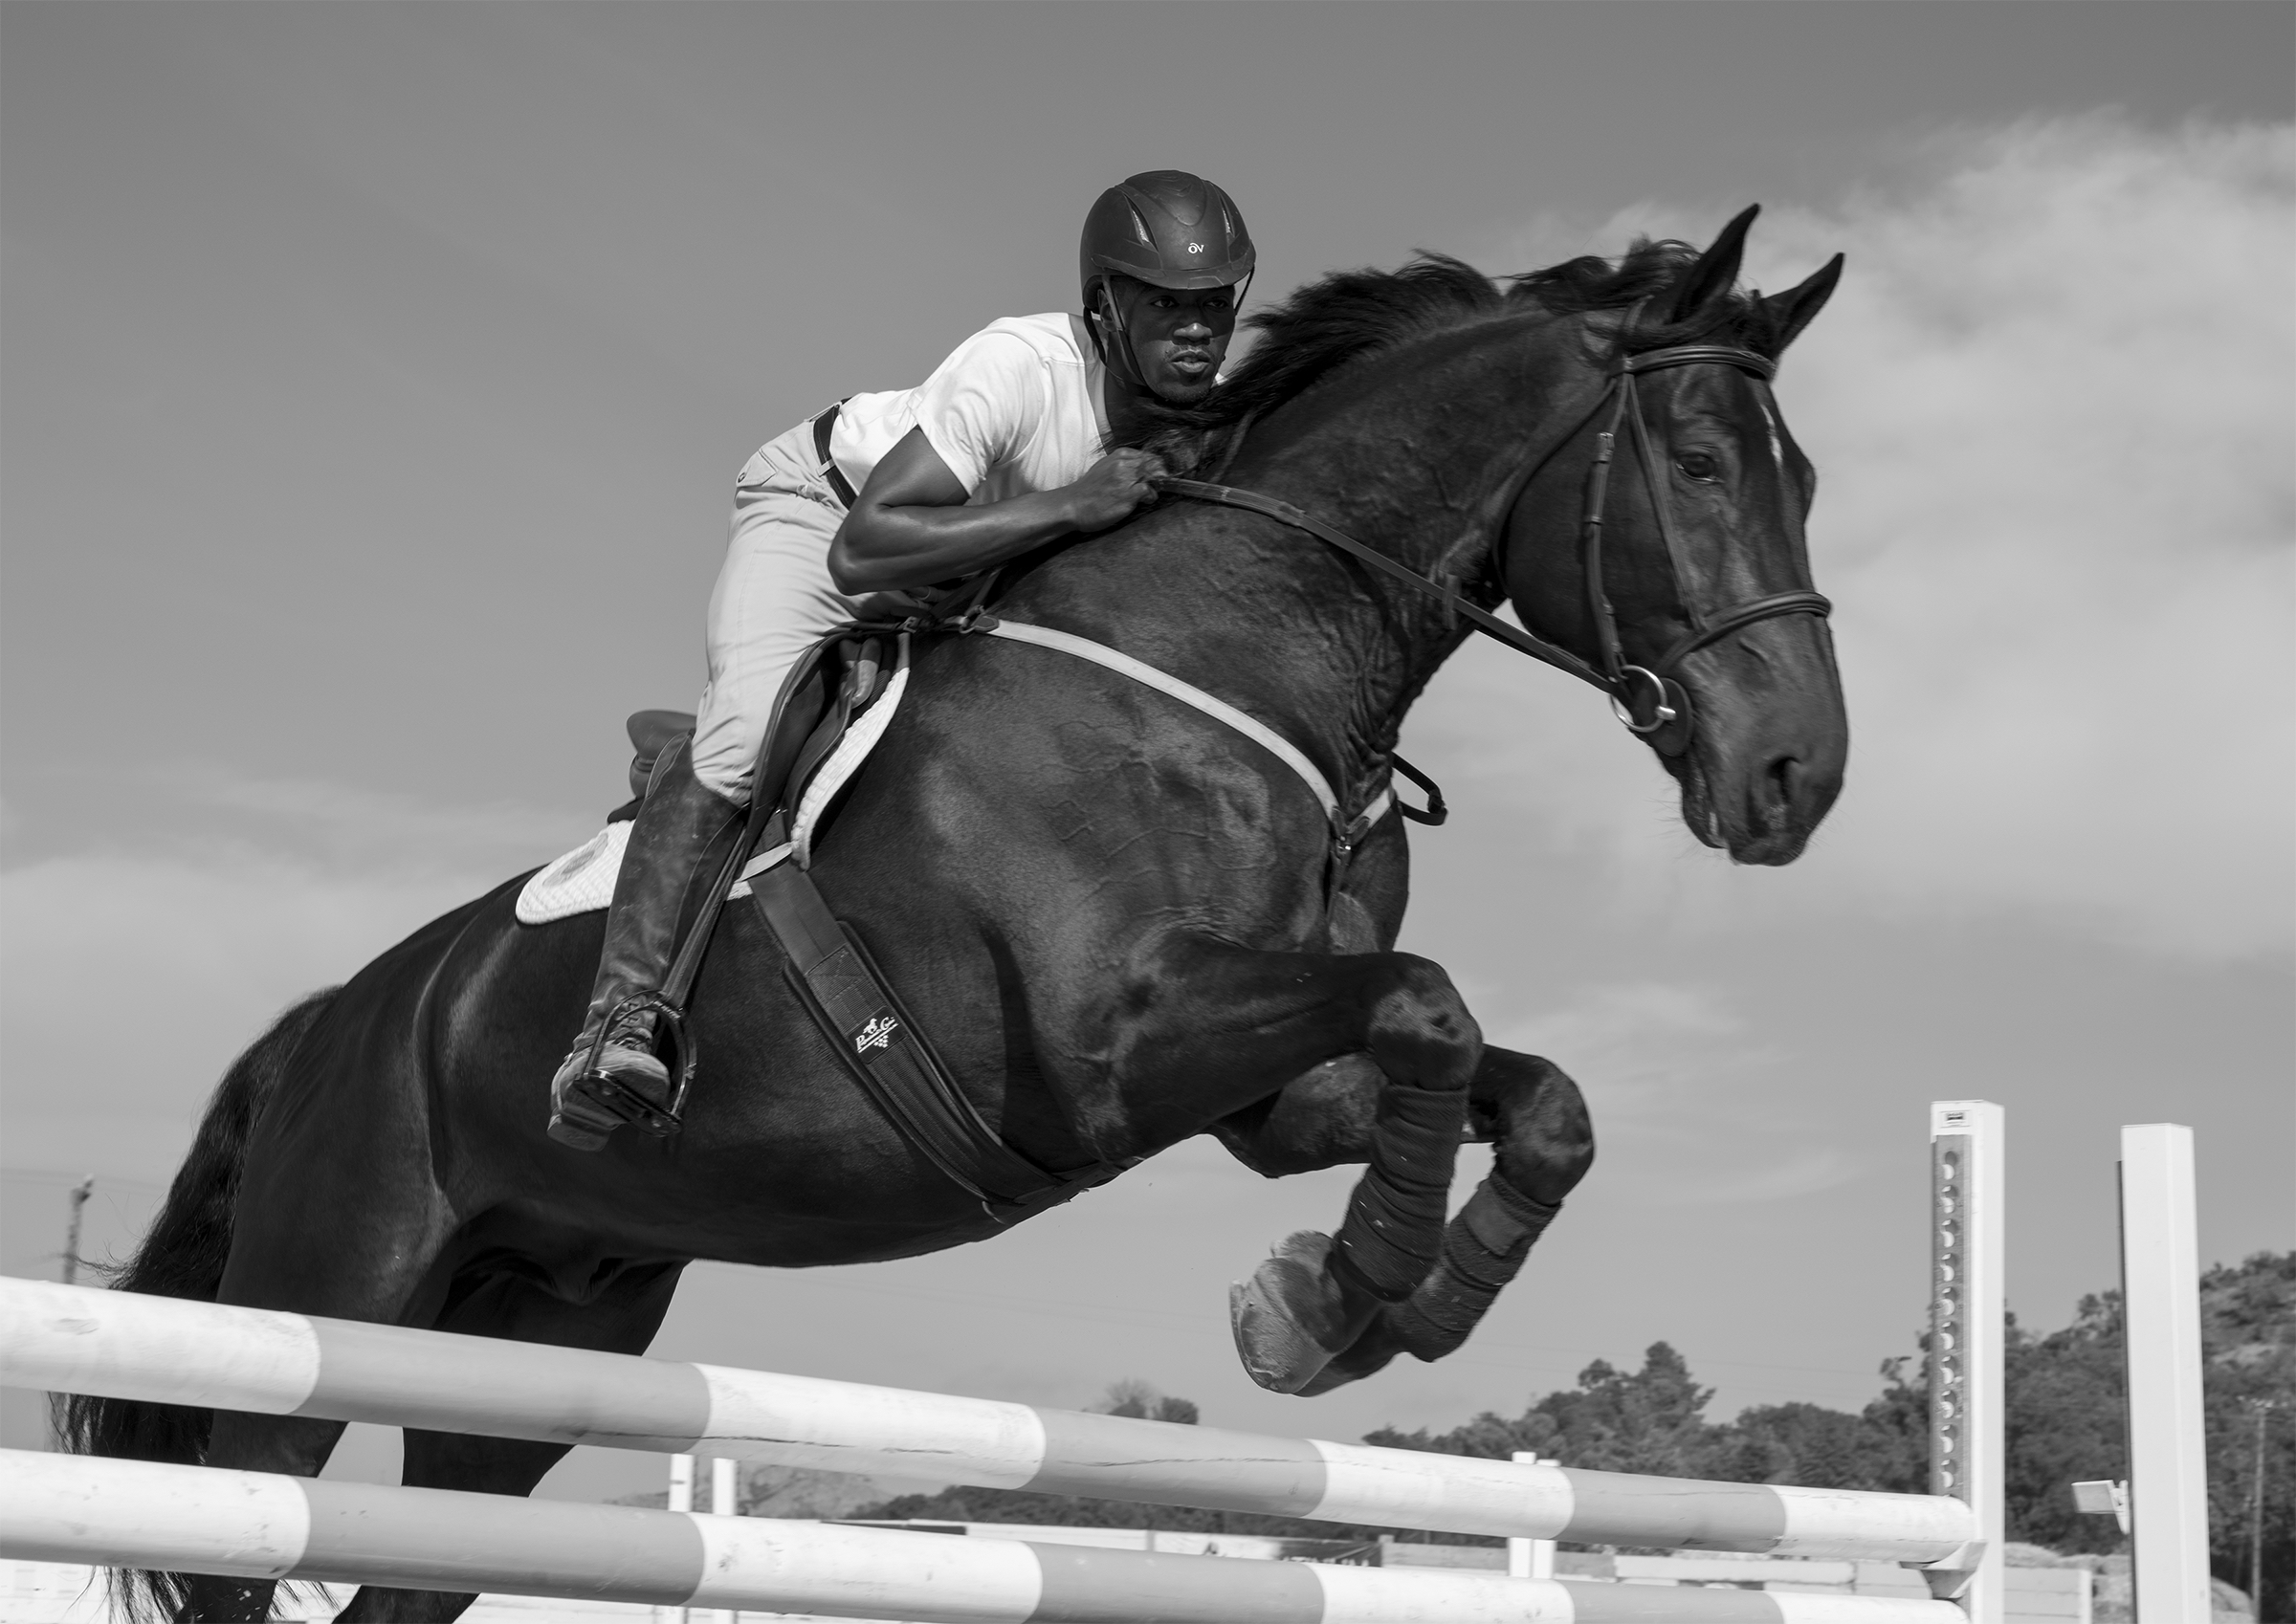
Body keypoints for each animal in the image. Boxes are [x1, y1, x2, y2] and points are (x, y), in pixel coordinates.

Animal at [62, 209, 1845, 1614]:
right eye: (1698, 466)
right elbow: (1432, 1004)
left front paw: (1359, 1299)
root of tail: (324, 1023)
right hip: (327, 1304)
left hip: (525, 1354)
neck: (1243, 649)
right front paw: (1335, 1302)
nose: (1799, 776)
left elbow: (1519, 1083)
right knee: (244, 1515)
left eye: (1812, 479)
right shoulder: (1117, 1043)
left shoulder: (1267, 1088)